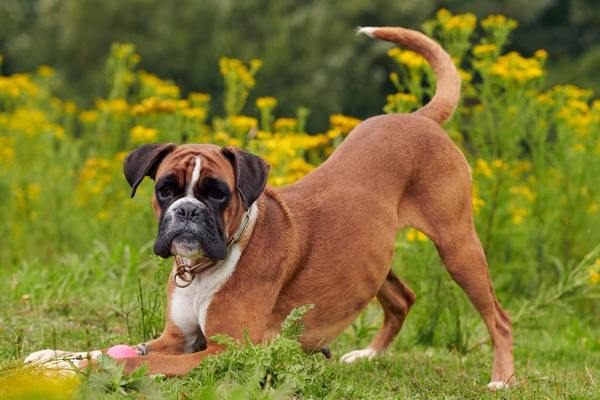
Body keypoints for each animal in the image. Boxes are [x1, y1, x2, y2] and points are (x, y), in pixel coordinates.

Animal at [24, 26, 516, 390]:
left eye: (217, 193)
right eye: (165, 189)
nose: (187, 212)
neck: (205, 267)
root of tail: (419, 118)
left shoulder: (222, 352)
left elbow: (128, 362)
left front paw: (71, 369)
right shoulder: (176, 338)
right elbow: (112, 347)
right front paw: (52, 356)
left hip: (458, 246)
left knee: (499, 317)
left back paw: (502, 379)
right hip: (373, 257)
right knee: (402, 297)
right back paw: (367, 356)